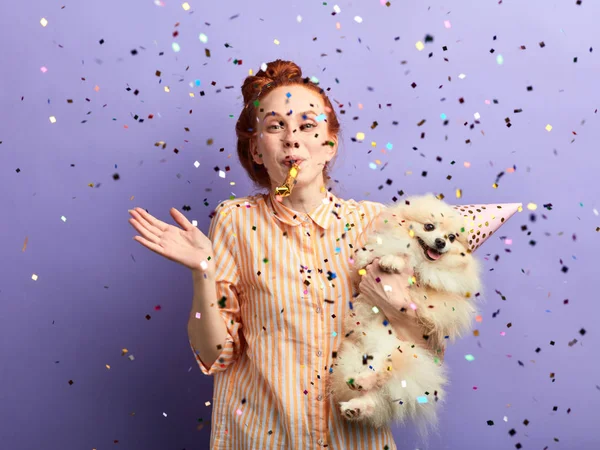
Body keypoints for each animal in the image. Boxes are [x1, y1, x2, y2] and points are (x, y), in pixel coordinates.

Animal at [328, 192, 482, 440]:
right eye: (429, 227)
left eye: (451, 237)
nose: (441, 242)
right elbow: (374, 254)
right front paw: (380, 256)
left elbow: (416, 268)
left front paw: (394, 262)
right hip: (354, 355)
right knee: (377, 392)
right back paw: (356, 404)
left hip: (391, 345)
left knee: (382, 370)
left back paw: (363, 384)